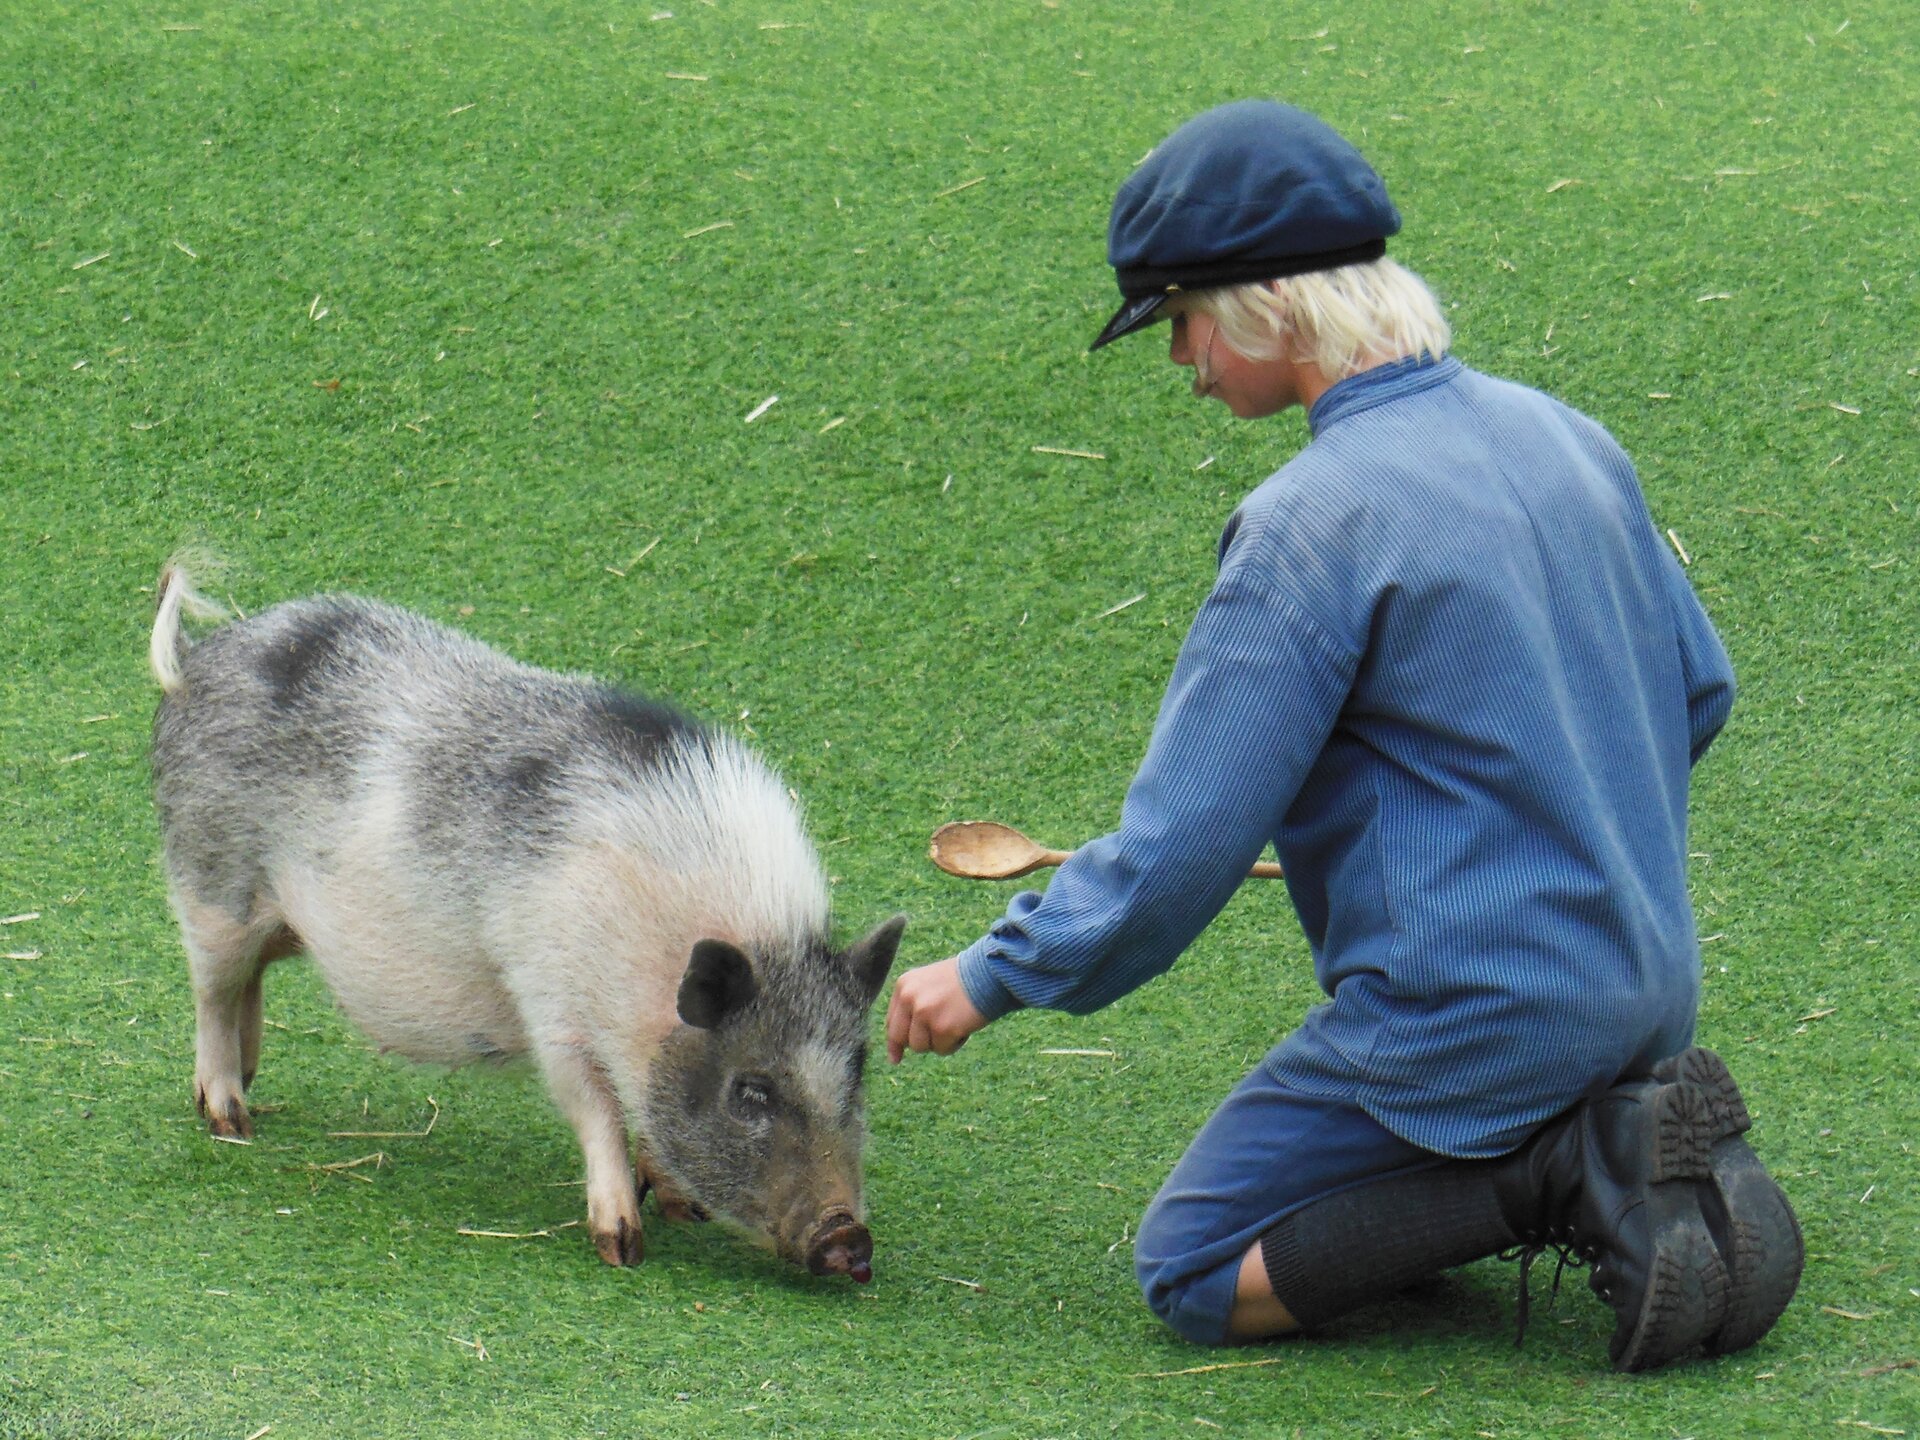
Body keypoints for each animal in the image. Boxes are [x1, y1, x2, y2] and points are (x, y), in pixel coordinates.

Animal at [145, 568, 902, 1282]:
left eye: (858, 1068)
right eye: (751, 1090)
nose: (848, 1237)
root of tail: (201, 656)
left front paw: (682, 1209)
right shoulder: (553, 1007)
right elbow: (595, 1110)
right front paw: (622, 1248)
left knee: (250, 981)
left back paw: (249, 1077)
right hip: (211, 883)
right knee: (211, 990)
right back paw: (230, 1119)